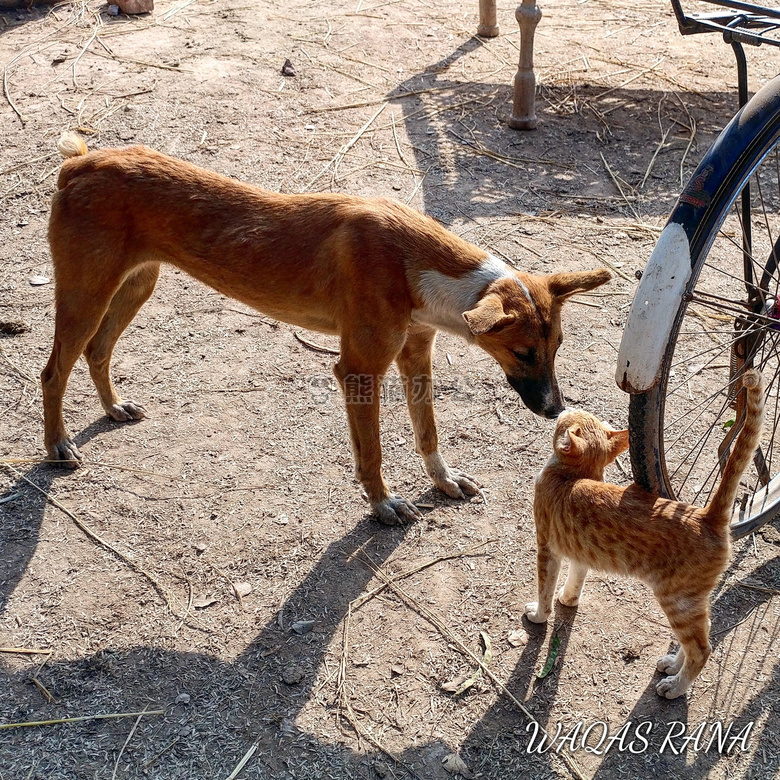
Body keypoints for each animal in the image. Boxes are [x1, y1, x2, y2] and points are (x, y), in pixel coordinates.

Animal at [44, 133, 608, 524]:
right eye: (523, 353)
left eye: (556, 348)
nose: (555, 410)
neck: (415, 263)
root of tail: (79, 163)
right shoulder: (359, 370)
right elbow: (372, 454)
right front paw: (383, 504)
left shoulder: (415, 356)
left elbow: (427, 433)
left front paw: (443, 481)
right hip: (85, 298)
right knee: (53, 372)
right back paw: (58, 446)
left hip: (136, 286)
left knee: (97, 351)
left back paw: (113, 407)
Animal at [528, 368, 764, 696]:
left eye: (571, 416)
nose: (563, 407)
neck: (573, 475)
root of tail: (707, 515)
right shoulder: (580, 552)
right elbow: (576, 578)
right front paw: (568, 598)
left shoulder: (546, 546)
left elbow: (544, 590)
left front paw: (539, 615)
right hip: (693, 602)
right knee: (702, 633)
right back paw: (673, 665)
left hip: (677, 599)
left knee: (702, 649)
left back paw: (675, 687)